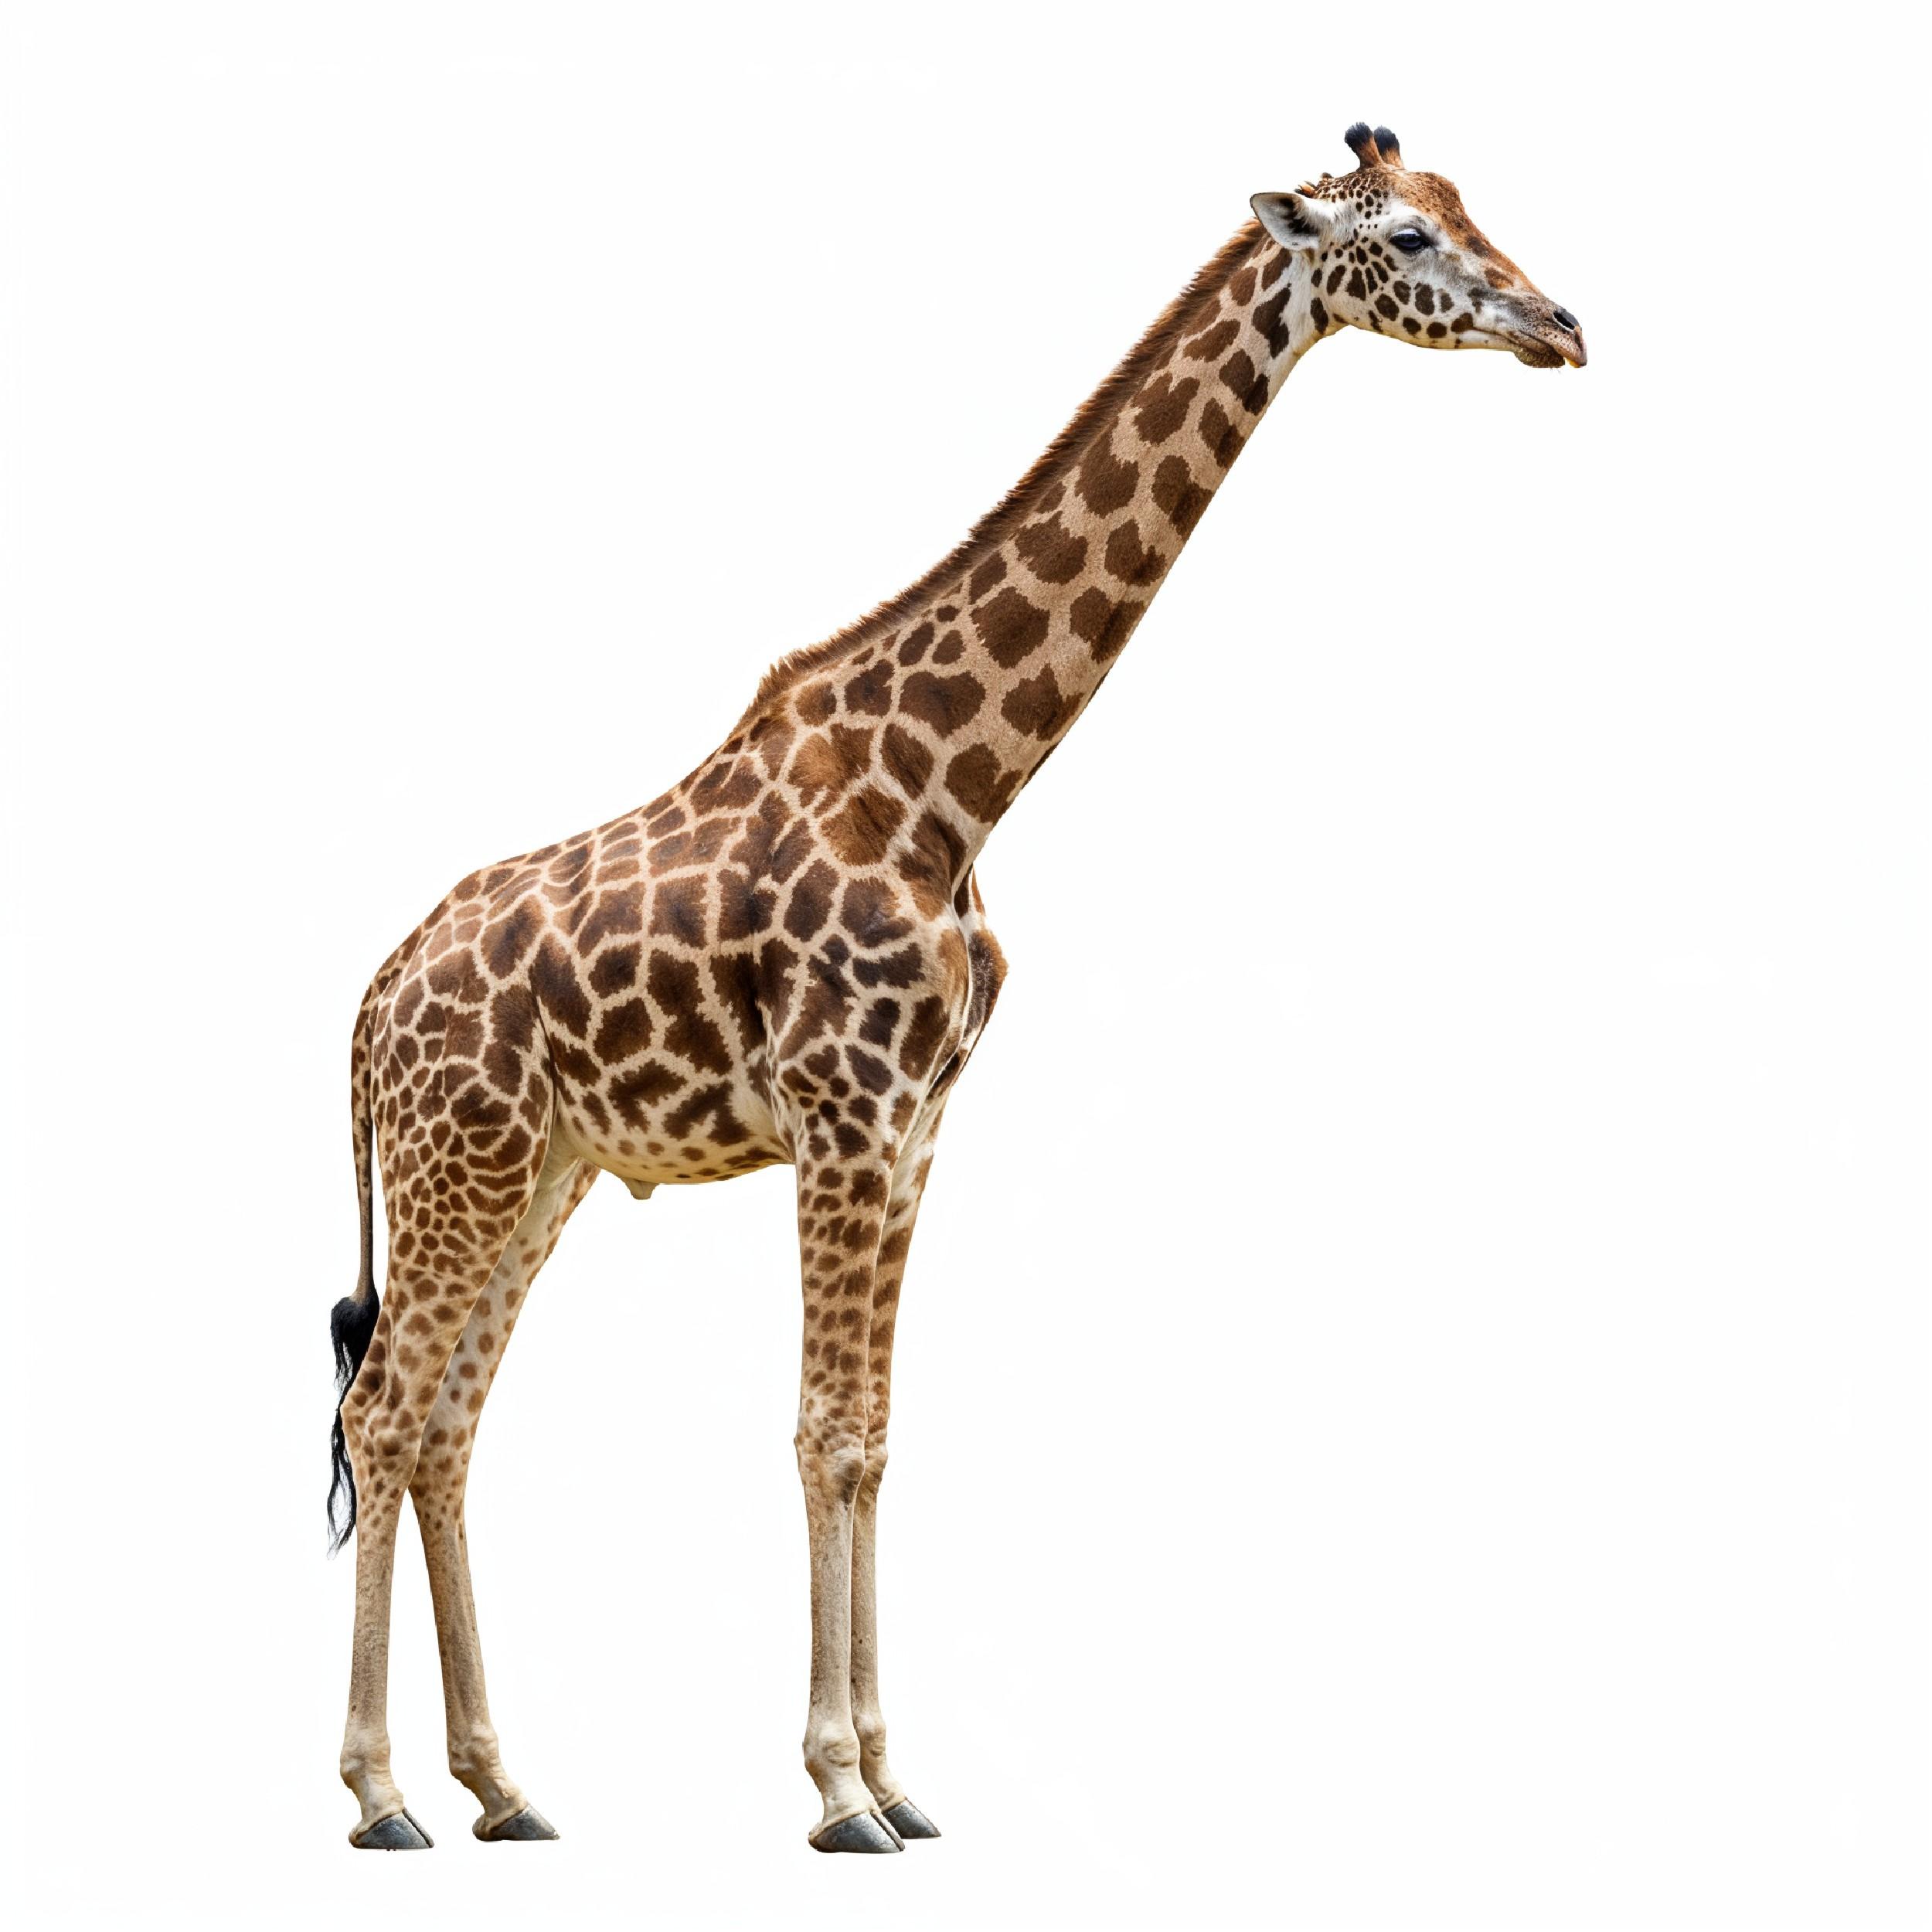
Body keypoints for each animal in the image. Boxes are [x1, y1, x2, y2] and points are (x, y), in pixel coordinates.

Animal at [327, 123, 1585, 1853]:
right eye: (1406, 233)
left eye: (1467, 210)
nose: (1562, 327)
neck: (950, 789)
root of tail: (369, 1006)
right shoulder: (845, 1117)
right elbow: (821, 1429)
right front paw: (835, 1790)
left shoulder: (917, 1130)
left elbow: (872, 1440)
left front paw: (892, 1777)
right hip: (460, 1162)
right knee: (383, 1414)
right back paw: (381, 1793)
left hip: (538, 1170)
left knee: (447, 1423)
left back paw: (503, 1787)